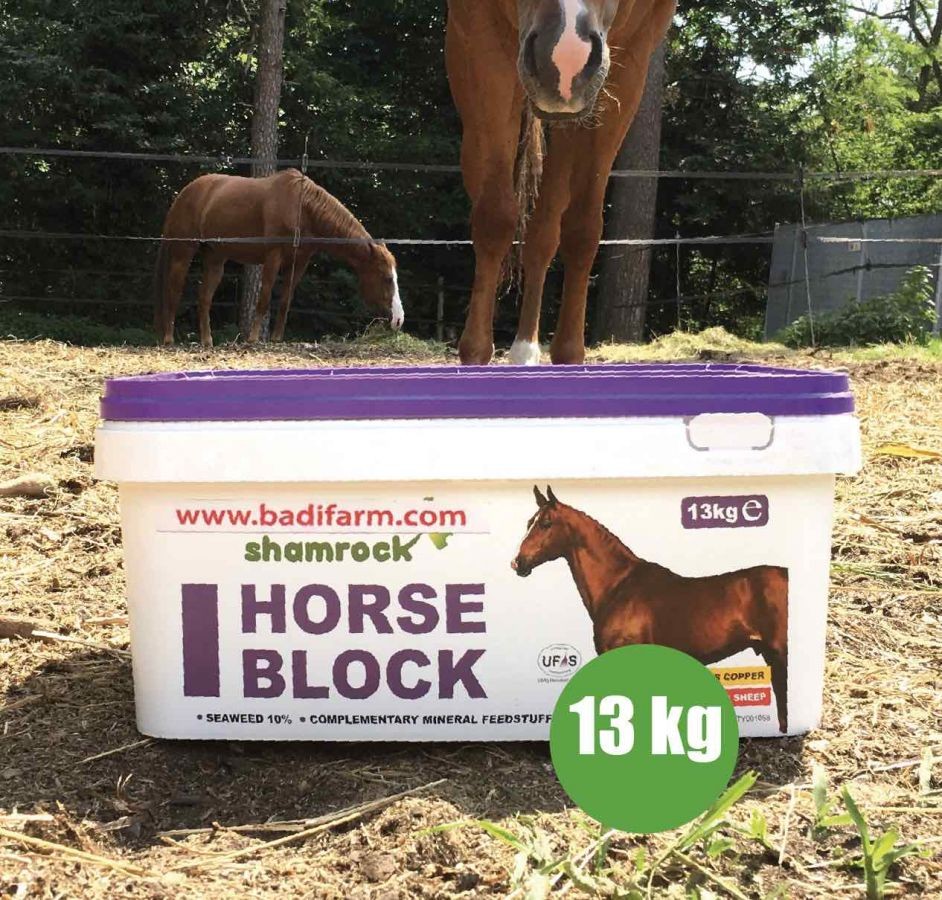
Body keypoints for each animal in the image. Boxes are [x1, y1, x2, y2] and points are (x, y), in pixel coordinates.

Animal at [154, 169, 405, 347]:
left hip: (216, 258)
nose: (399, 320)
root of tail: (184, 193)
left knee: (204, 297)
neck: (302, 208)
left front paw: (276, 337)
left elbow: (285, 300)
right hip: (183, 253)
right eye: (386, 278)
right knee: (173, 292)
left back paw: (207, 341)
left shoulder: (299, 263)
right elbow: (264, 299)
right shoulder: (272, 257)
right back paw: (169, 339)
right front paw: (253, 339)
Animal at [446, 0, 675, 365]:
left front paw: (569, 352)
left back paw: (526, 350)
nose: (565, 62)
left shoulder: (630, 62)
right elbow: (495, 219)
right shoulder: (482, 42)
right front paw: (476, 351)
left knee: (544, 232)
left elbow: (582, 231)